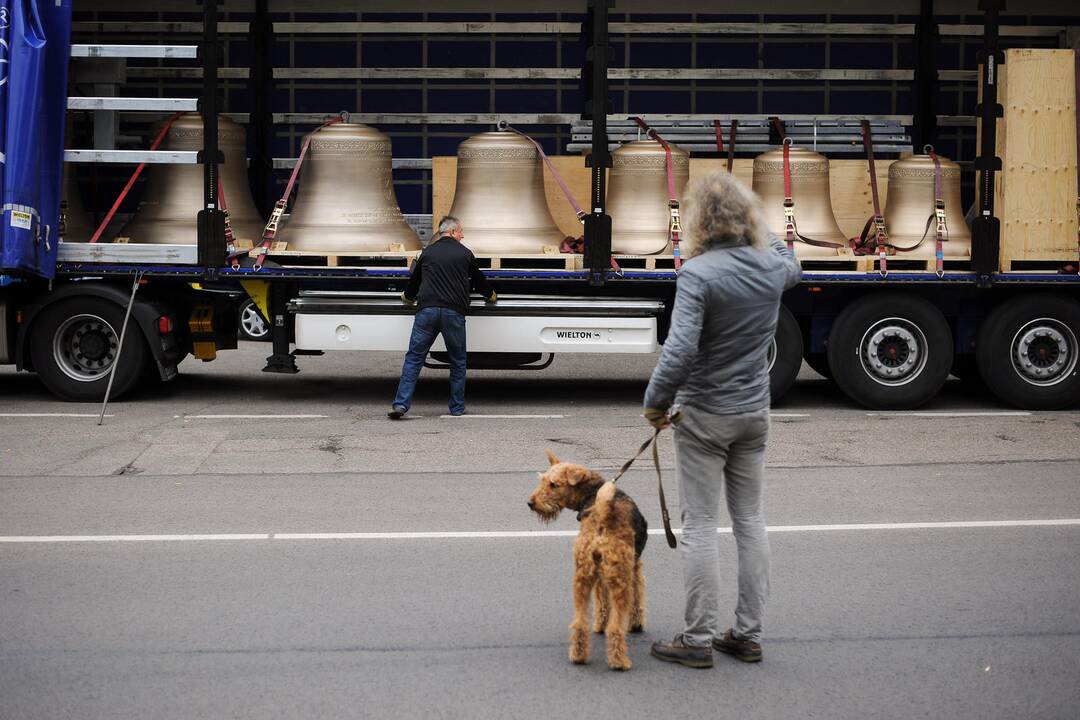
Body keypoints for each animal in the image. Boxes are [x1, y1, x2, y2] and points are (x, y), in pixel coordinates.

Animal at [524, 446, 643, 673]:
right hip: (620, 581)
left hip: (581, 578)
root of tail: (601, 518)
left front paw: (599, 626)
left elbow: (601, 605)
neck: (591, 495)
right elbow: (638, 599)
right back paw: (619, 661)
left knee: (579, 623)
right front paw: (637, 624)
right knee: (616, 628)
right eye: (543, 480)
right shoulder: (636, 568)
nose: (530, 503)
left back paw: (578, 656)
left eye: (553, 484)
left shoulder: (599, 579)